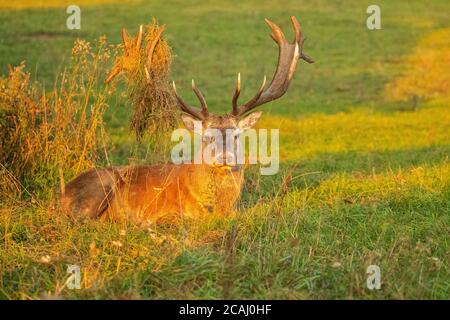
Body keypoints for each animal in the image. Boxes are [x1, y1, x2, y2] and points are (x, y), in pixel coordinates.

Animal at [60, 15, 312, 225]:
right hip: (100, 187)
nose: (224, 157)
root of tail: (60, 196)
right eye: (208, 136)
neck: (218, 208)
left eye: (236, 134)